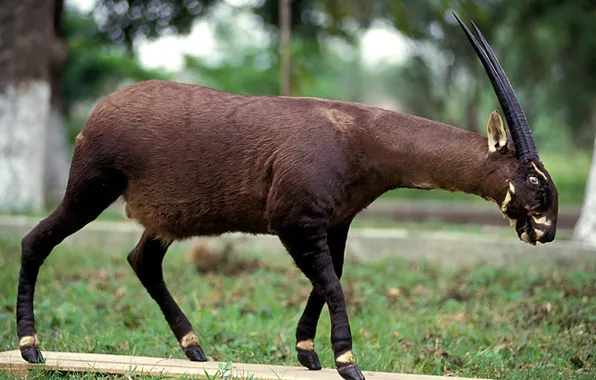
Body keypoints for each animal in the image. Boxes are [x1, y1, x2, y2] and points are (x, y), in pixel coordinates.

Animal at [17, 13, 560, 378]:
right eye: (535, 180)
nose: (548, 232)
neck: (358, 135)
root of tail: (97, 112)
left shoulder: (334, 222)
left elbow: (329, 280)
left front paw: (308, 353)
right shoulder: (294, 222)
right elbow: (333, 284)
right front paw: (348, 362)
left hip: (161, 217)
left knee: (142, 259)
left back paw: (195, 348)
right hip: (91, 188)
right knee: (35, 240)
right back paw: (30, 347)